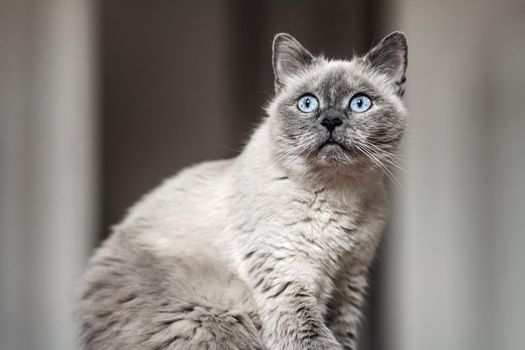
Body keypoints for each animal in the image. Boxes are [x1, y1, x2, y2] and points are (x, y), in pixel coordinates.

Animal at [75, 30, 408, 350]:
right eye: (308, 103)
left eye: (359, 103)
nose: (331, 121)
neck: (338, 194)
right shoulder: (287, 276)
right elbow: (314, 339)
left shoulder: (348, 281)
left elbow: (343, 339)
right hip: (214, 315)